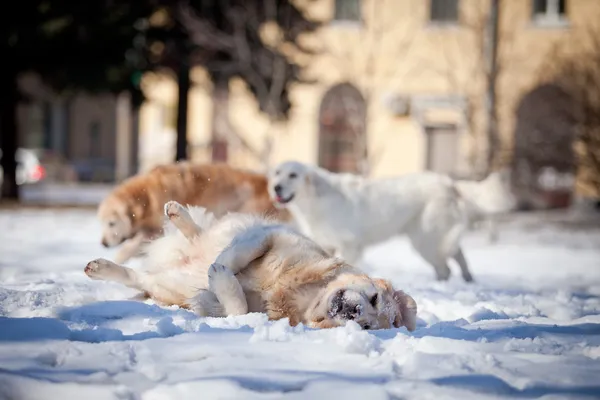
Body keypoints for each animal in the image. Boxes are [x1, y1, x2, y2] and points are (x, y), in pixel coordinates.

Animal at [85, 200, 418, 332]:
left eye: (365, 326)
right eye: (374, 298)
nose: (354, 311)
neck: (304, 294)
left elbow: (239, 309)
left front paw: (218, 283)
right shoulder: (273, 235)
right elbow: (236, 255)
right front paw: (221, 266)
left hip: (167, 287)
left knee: (138, 277)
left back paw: (101, 268)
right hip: (230, 228)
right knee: (201, 234)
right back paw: (178, 214)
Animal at [97, 161, 290, 264]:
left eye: (111, 223)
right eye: (102, 223)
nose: (103, 243)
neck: (148, 197)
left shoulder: (156, 230)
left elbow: (130, 247)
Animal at [268, 162, 516, 282]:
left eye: (293, 175)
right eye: (277, 172)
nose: (276, 187)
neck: (315, 198)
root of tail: (449, 182)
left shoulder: (350, 245)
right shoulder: (327, 244)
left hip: (425, 239)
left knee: (446, 265)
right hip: (429, 238)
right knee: (456, 255)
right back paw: (467, 279)